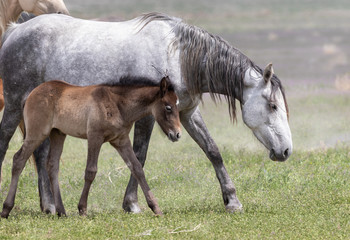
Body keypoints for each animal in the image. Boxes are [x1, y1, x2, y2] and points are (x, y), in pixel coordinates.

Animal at [0, 76, 180, 218]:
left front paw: (156, 208)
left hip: (58, 134)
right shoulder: (95, 137)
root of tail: (32, 93)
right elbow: (90, 171)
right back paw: (6, 209)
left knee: (52, 165)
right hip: (37, 133)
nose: (177, 134)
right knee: (18, 159)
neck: (118, 104)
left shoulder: (121, 141)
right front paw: (82, 209)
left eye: (178, 106)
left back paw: (61, 211)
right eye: (168, 107)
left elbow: (137, 168)